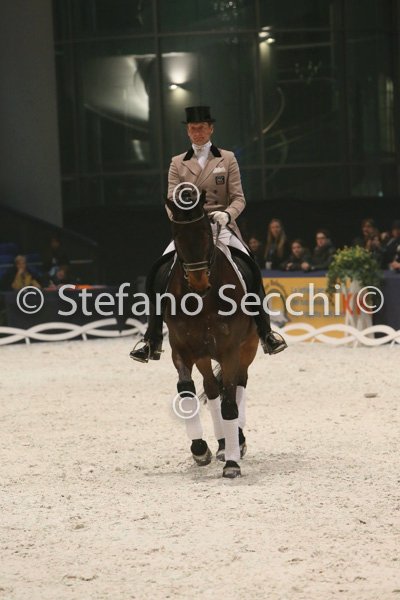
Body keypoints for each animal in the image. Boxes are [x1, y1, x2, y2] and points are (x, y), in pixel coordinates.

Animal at [163, 193, 259, 478]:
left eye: (207, 231)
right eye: (177, 235)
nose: (198, 283)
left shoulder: (230, 350)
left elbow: (230, 403)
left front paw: (232, 463)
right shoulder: (181, 349)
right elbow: (186, 391)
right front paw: (199, 449)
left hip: (248, 349)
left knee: (238, 385)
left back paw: (236, 442)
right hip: (204, 356)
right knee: (212, 388)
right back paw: (222, 444)